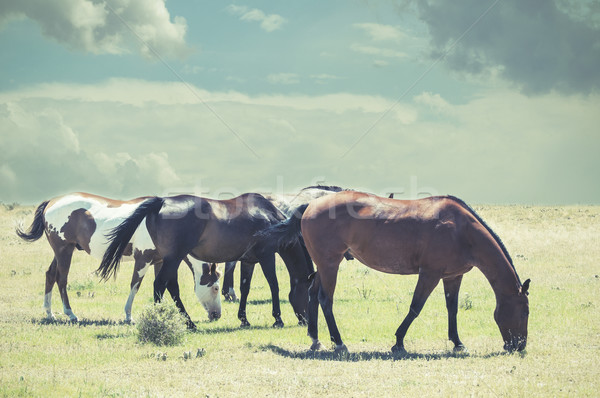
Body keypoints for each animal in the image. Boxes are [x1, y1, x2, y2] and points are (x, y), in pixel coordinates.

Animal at [17, 193, 223, 324]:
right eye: (215, 287)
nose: (217, 315)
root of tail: (52, 202)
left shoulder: (160, 261)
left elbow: (162, 287)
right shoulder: (143, 259)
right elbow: (135, 285)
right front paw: (129, 316)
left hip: (61, 252)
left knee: (50, 275)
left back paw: (50, 313)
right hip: (64, 251)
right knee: (61, 279)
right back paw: (71, 314)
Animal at [97, 194, 314, 330]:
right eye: (308, 293)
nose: (306, 320)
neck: (269, 217)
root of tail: (162, 202)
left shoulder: (249, 261)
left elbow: (245, 288)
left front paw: (243, 319)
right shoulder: (267, 256)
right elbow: (274, 285)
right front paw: (278, 318)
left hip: (169, 259)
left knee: (171, 287)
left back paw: (188, 322)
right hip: (173, 259)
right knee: (160, 285)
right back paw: (165, 321)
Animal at [262, 191, 528, 352]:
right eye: (525, 312)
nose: (519, 345)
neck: (461, 230)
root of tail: (312, 204)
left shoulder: (452, 276)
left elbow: (452, 309)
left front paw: (457, 342)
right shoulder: (429, 274)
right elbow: (416, 307)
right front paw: (399, 341)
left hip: (324, 266)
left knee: (312, 295)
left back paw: (316, 339)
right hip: (330, 265)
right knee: (326, 300)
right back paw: (339, 343)